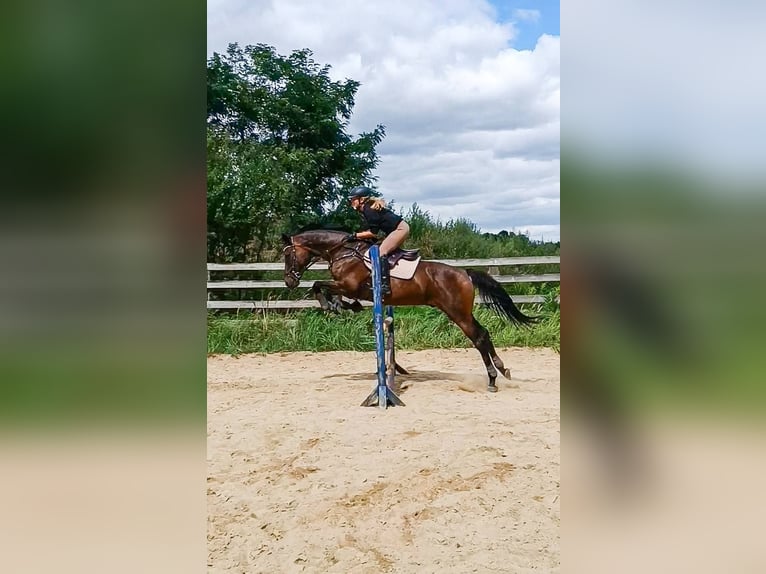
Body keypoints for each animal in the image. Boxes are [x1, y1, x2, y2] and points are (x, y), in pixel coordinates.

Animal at [281, 228, 539, 391]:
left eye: (287, 254)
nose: (289, 281)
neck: (342, 251)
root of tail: (465, 273)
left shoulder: (349, 285)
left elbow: (319, 285)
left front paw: (331, 305)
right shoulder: (349, 288)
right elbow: (332, 292)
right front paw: (343, 306)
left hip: (457, 313)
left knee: (478, 337)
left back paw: (493, 379)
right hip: (463, 312)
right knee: (483, 333)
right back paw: (501, 370)